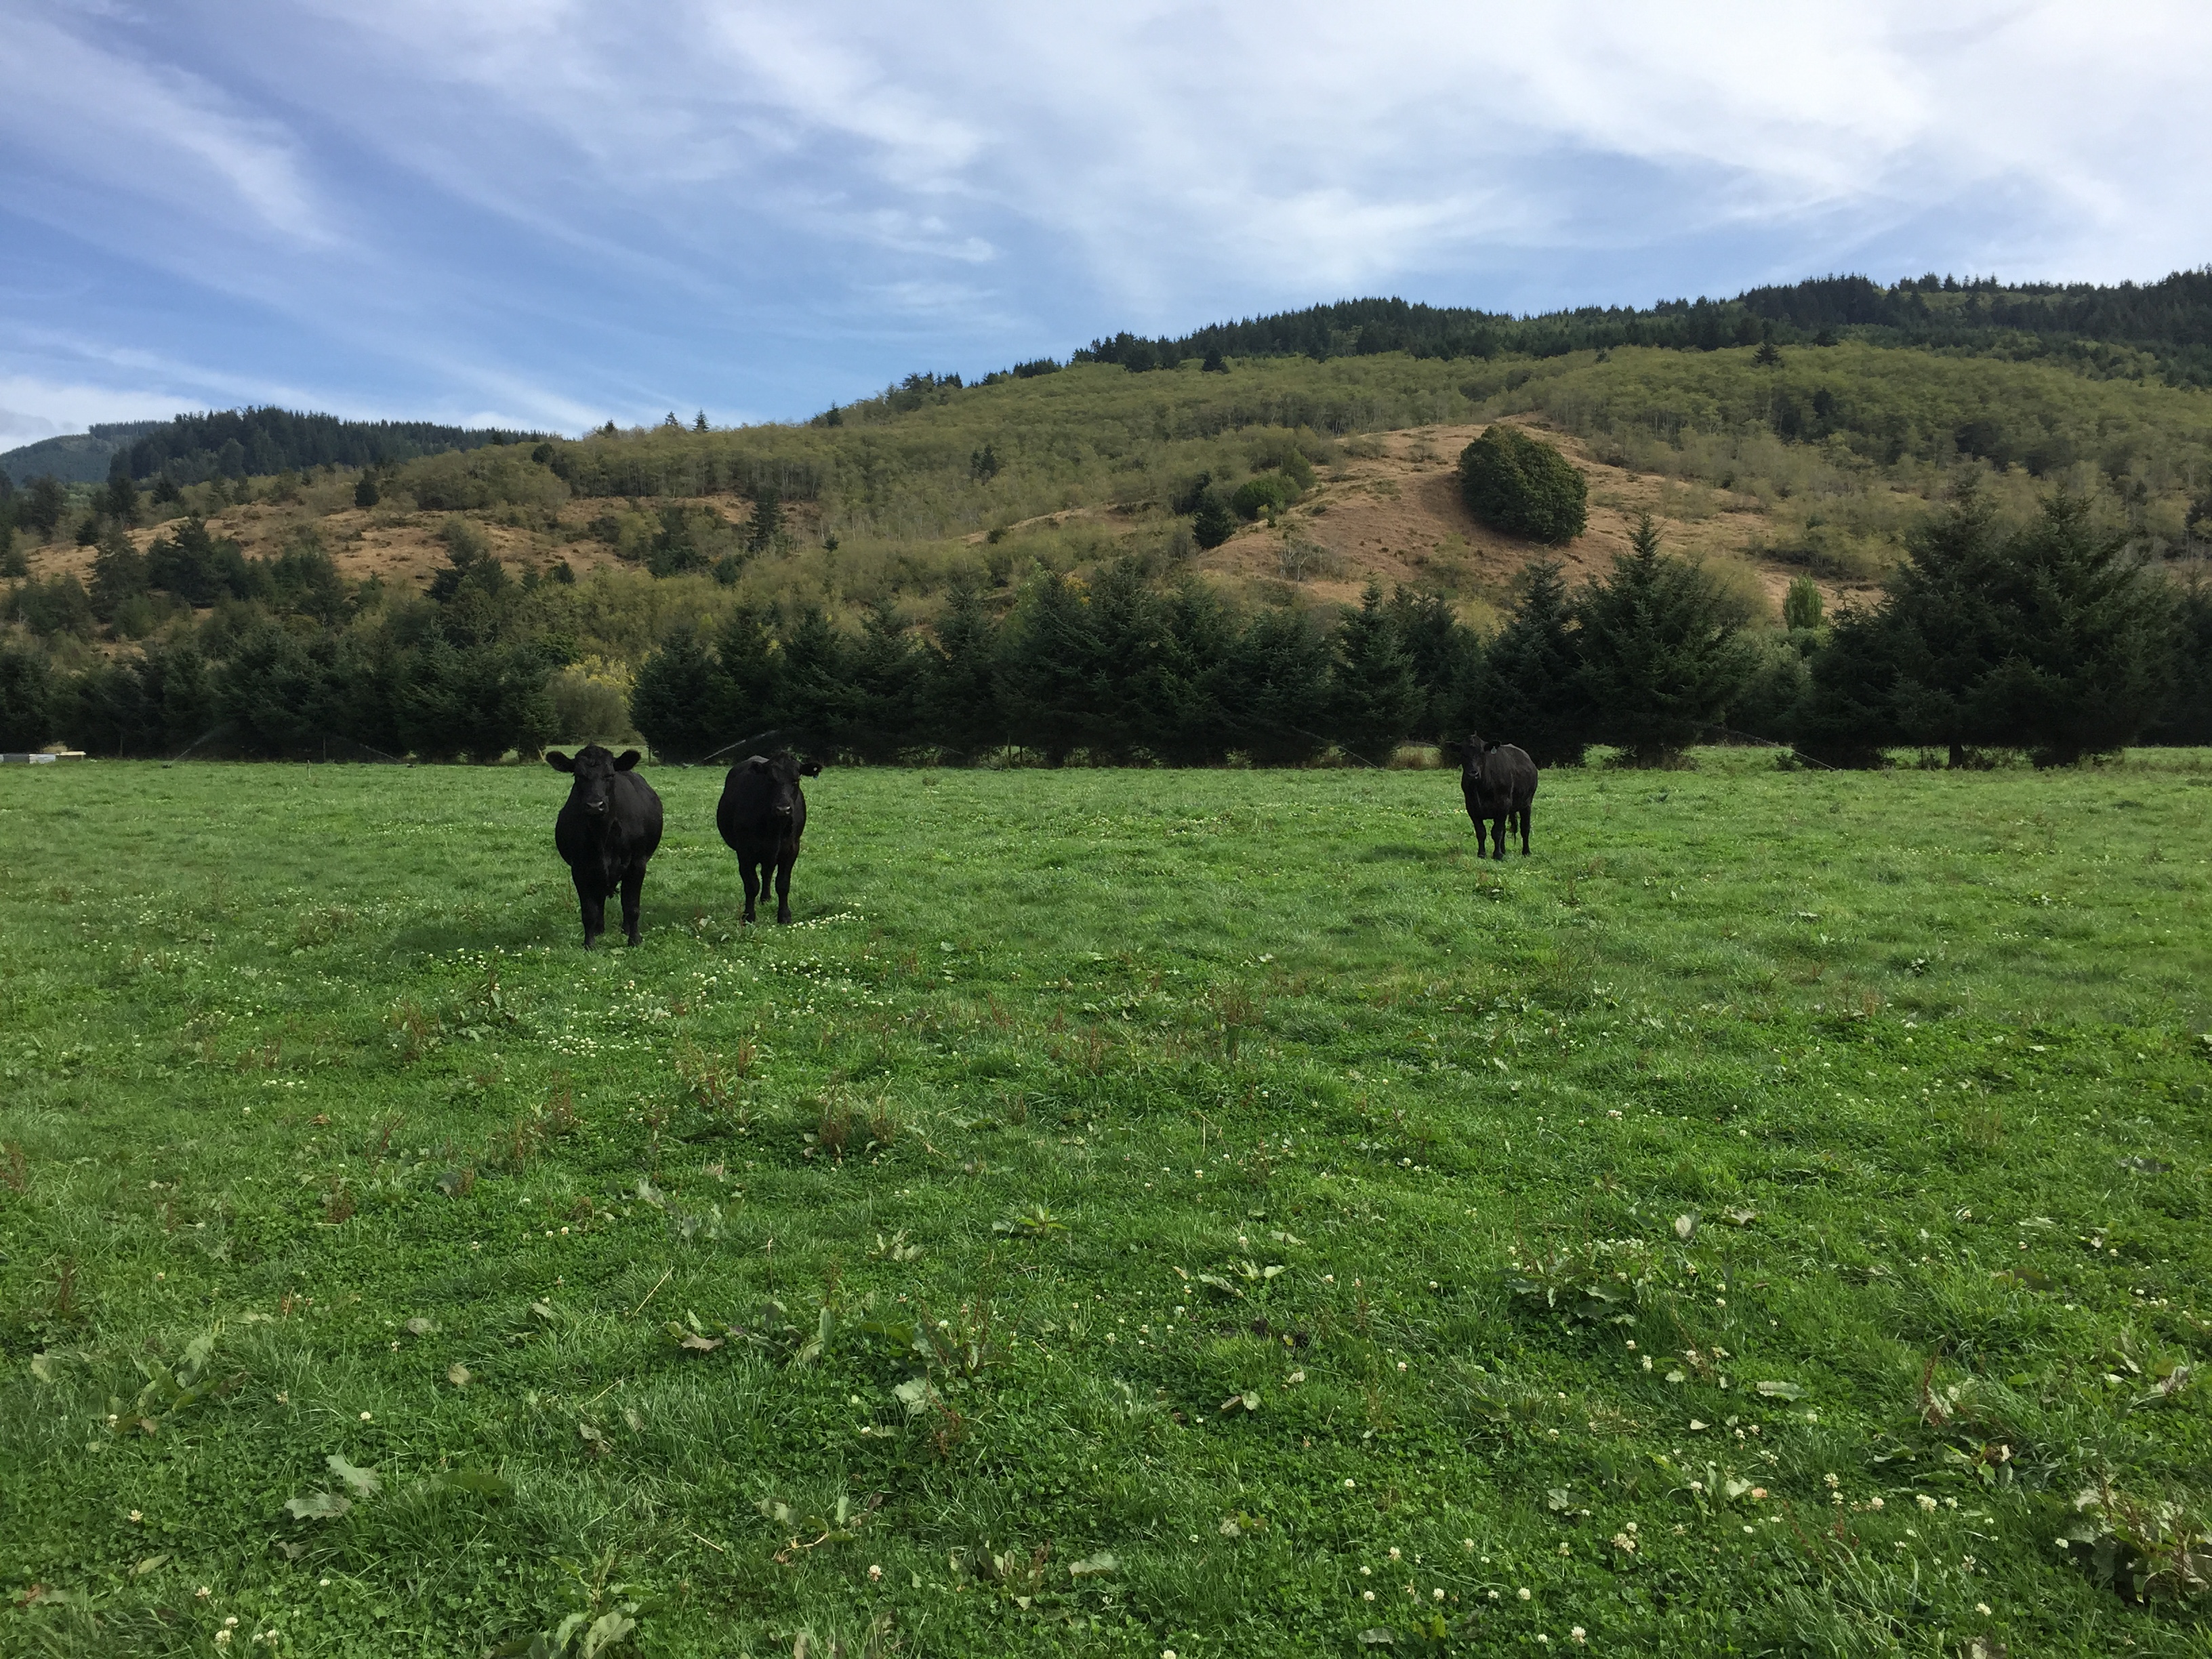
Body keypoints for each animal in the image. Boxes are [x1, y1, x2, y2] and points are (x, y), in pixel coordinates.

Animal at [548, 743, 659, 946]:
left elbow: (632, 906)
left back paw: (625, 929)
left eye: (609, 775)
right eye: (578, 776)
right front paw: (589, 944)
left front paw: (635, 940)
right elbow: (589, 910)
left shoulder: (638, 863)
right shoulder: (580, 868)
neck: (602, 836)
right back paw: (599, 930)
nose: (595, 806)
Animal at [721, 752, 827, 924]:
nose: (783, 809)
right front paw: (749, 916)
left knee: (767, 872)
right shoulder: (744, 850)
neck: (774, 828)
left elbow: (783, 884)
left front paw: (784, 916)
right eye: (770, 780)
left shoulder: (791, 848)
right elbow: (751, 885)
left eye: (796, 780)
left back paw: (766, 898)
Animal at [1451, 734, 1539, 862]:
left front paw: (1497, 855)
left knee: (1525, 828)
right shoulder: (1472, 808)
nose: (1473, 773)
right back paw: (1504, 850)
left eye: (1482, 753)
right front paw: (1482, 854)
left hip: (1527, 804)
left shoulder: (1503, 805)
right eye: (1463, 754)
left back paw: (1526, 852)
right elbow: (1481, 832)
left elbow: (1496, 832)